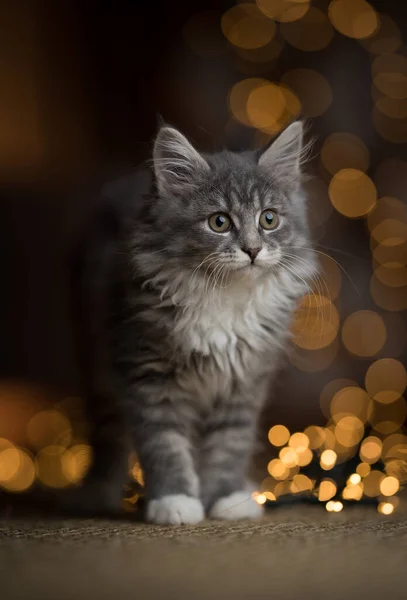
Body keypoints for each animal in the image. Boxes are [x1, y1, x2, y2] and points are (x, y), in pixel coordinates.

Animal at [73, 119, 318, 524]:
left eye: (269, 219)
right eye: (219, 222)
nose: (253, 250)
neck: (224, 297)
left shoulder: (244, 380)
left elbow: (229, 445)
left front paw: (227, 498)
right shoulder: (147, 375)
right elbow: (165, 444)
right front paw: (175, 501)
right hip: (96, 360)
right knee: (108, 433)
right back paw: (98, 493)